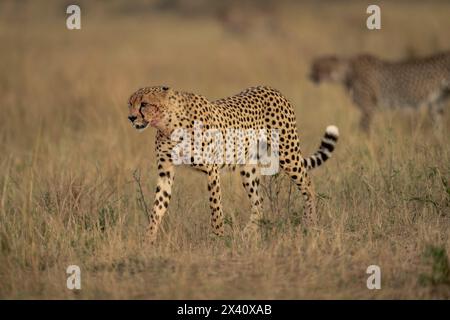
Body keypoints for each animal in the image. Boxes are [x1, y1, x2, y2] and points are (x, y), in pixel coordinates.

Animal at [126, 85, 338, 242]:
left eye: (144, 104)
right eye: (130, 103)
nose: (131, 117)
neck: (168, 124)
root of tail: (272, 89)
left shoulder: (211, 170)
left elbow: (215, 206)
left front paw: (218, 237)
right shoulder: (166, 171)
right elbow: (157, 207)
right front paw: (148, 240)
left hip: (287, 153)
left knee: (308, 185)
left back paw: (310, 223)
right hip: (249, 169)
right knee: (259, 203)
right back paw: (248, 233)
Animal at [310, 52, 450, 132]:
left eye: (318, 67)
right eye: (313, 67)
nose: (309, 76)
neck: (347, 72)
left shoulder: (368, 108)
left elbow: (365, 131)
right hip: (437, 104)